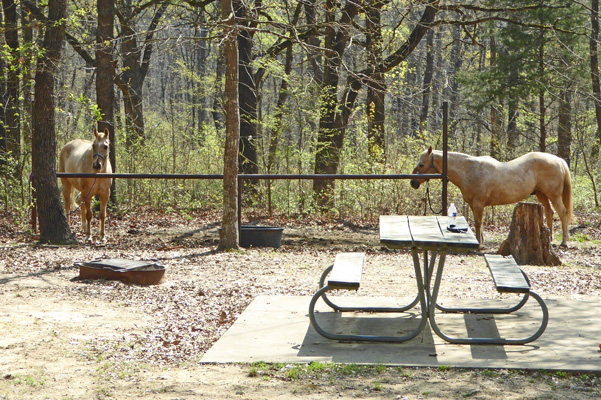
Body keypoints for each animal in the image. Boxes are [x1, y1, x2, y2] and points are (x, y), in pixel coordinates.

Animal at [408, 147, 572, 247]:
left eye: (421, 164)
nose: (412, 182)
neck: (470, 170)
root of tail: (559, 160)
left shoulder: (478, 204)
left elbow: (478, 222)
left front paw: (479, 243)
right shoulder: (474, 204)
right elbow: (478, 223)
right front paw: (481, 241)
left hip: (554, 195)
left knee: (562, 213)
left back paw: (564, 241)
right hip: (541, 194)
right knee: (549, 212)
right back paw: (550, 238)